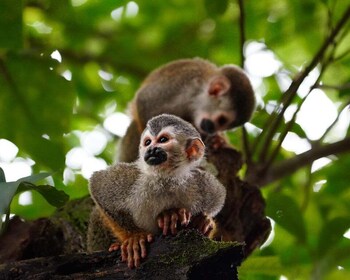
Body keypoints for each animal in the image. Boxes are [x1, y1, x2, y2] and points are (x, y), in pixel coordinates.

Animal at [86, 114, 226, 270]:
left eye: (163, 140)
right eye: (147, 142)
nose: (151, 149)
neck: (165, 178)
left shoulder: (196, 181)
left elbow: (219, 195)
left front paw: (204, 220)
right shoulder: (134, 178)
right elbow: (98, 184)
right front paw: (134, 236)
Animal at [117, 57, 254, 162]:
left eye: (224, 126)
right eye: (222, 120)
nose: (213, 130)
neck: (195, 95)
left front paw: (218, 140)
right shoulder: (177, 86)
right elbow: (144, 102)